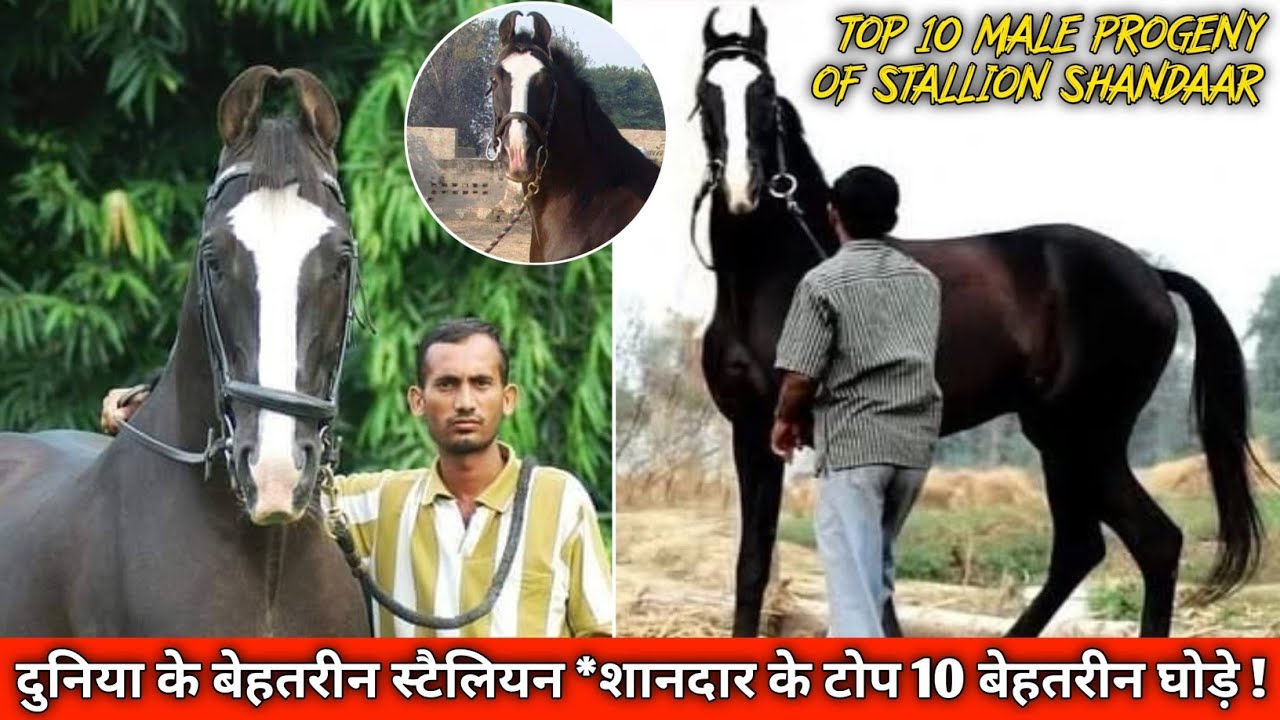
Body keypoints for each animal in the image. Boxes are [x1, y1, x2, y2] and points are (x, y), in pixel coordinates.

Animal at [692, 8, 1266, 638]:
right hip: (1063, 442)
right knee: (1087, 547)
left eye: (766, 93)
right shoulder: (751, 430)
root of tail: (1153, 276)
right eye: (705, 93)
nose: (742, 190)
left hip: (1083, 438)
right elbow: (755, 565)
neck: (779, 274)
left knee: (1151, 541)